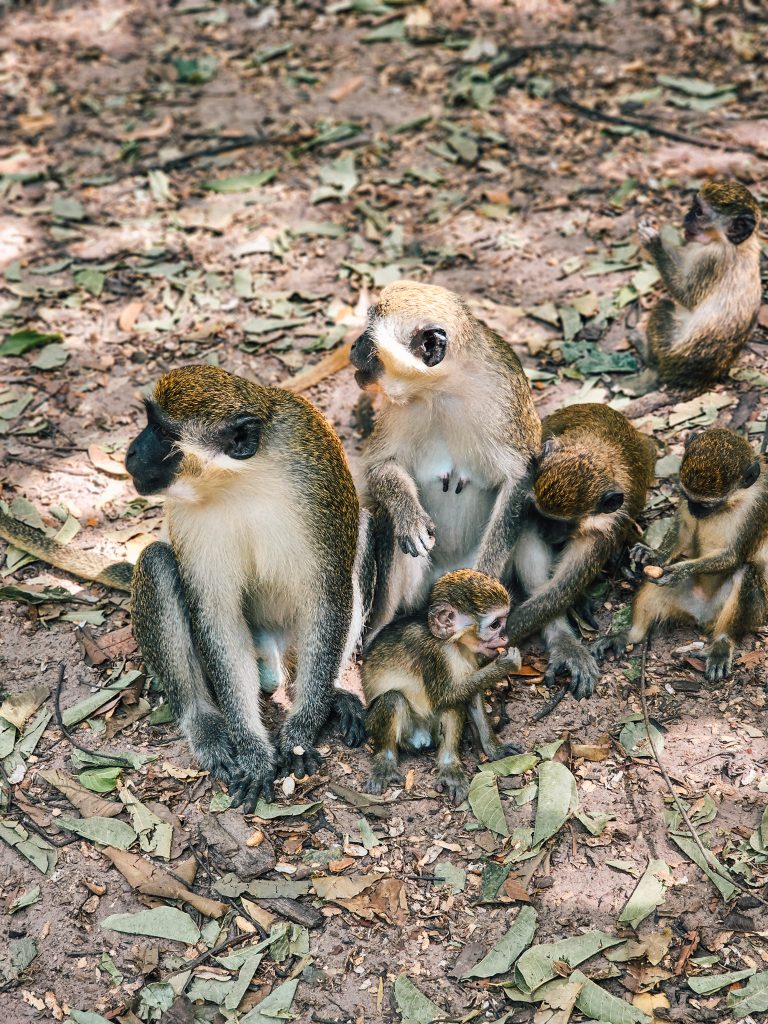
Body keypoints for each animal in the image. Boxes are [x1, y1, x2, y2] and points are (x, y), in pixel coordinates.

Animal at [352, 276, 544, 634]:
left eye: (369, 337)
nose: (354, 345)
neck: (441, 388)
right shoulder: (398, 408)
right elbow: (380, 464)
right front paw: (409, 516)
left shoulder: (504, 398)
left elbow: (519, 477)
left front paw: (483, 580)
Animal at [362, 573, 520, 802]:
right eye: (495, 625)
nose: (504, 637)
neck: (455, 643)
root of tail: (421, 739)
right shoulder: (435, 654)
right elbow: (444, 697)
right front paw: (505, 664)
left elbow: (470, 698)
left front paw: (494, 749)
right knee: (393, 698)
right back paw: (386, 759)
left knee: (453, 706)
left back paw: (448, 764)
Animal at [593, 428, 768, 684]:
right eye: (689, 498)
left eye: (706, 505)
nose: (695, 510)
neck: (735, 501)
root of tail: (701, 615)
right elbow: (683, 531)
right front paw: (652, 554)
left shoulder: (757, 506)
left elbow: (733, 556)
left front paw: (679, 571)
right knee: (652, 584)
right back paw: (631, 635)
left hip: (754, 613)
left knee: (744, 573)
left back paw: (721, 643)